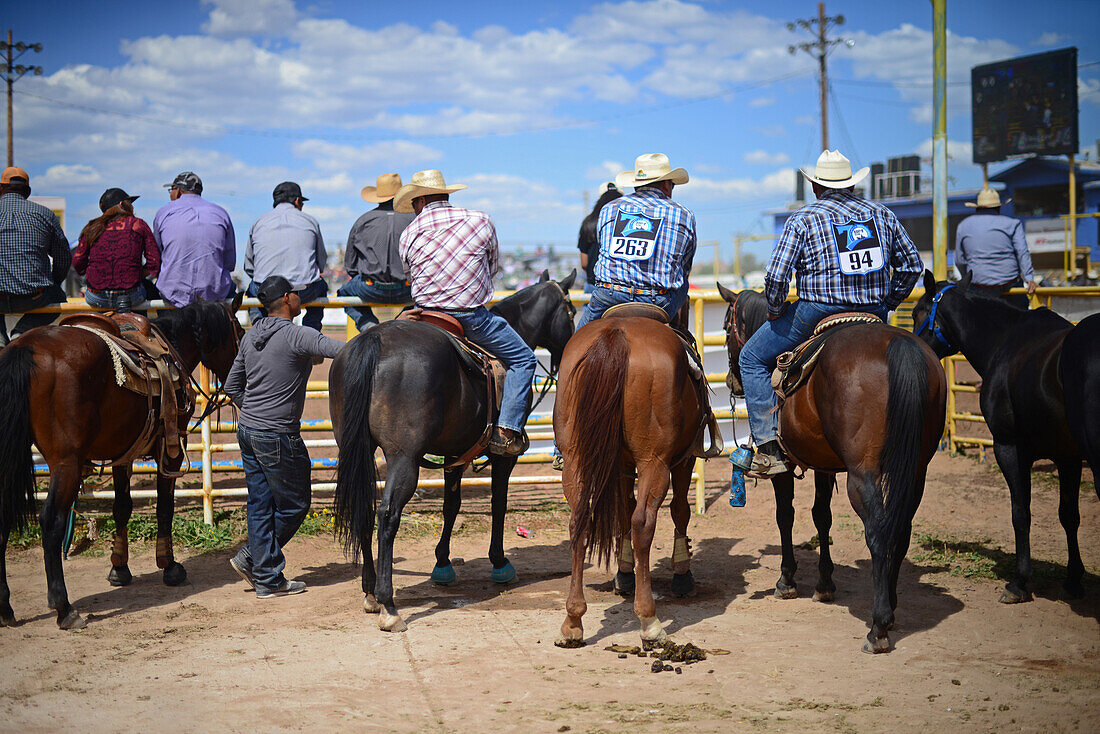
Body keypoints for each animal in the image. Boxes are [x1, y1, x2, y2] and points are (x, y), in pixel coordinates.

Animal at [0, 294, 243, 629]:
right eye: (240, 333)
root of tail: (26, 348)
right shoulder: (169, 447)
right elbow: (164, 506)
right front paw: (169, 566)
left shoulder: (123, 453)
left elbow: (122, 507)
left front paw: (119, 568)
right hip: (66, 463)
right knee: (51, 521)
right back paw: (64, 608)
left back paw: (5, 608)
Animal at [332, 269, 576, 633]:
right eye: (571, 311)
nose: (569, 352)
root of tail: (373, 342)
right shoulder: (504, 457)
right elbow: (498, 504)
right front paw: (500, 563)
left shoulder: (454, 452)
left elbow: (451, 506)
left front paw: (443, 564)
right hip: (403, 458)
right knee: (387, 514)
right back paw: (388, 605)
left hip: (356, 449)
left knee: (364, 507)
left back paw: (370, 592)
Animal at [550, 312, 704, 647]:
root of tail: (616, 334)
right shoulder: (684, 459)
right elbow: (680, 510)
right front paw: (682, 572)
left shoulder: (619, 466)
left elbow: (623, 509)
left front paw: (624, 572)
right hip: (653, 462)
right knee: (643, 523)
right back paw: (650, 622)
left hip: (577, 460)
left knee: (579, 521)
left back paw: (572, 621)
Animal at [717, 286, 950, 655]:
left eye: (727, 330)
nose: (731, 382)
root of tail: (900, 344)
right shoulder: (823, 464)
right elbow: (821, 517)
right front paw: (824, 583)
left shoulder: (785, 466)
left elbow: (786, 515)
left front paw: (786, 579)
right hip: (915, 472)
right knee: (901, 528)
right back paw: (892, 607)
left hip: (863, 475)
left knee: (878, 531)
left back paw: (878, 627)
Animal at [910, 272, 1100, 607]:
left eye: (916, 313)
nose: (914, 343)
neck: (1005, 340)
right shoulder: (1068, 456)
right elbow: (1069, 515)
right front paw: (1073, 580)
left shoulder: (1008, 447)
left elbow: (1020, 512)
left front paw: (1019, 582)